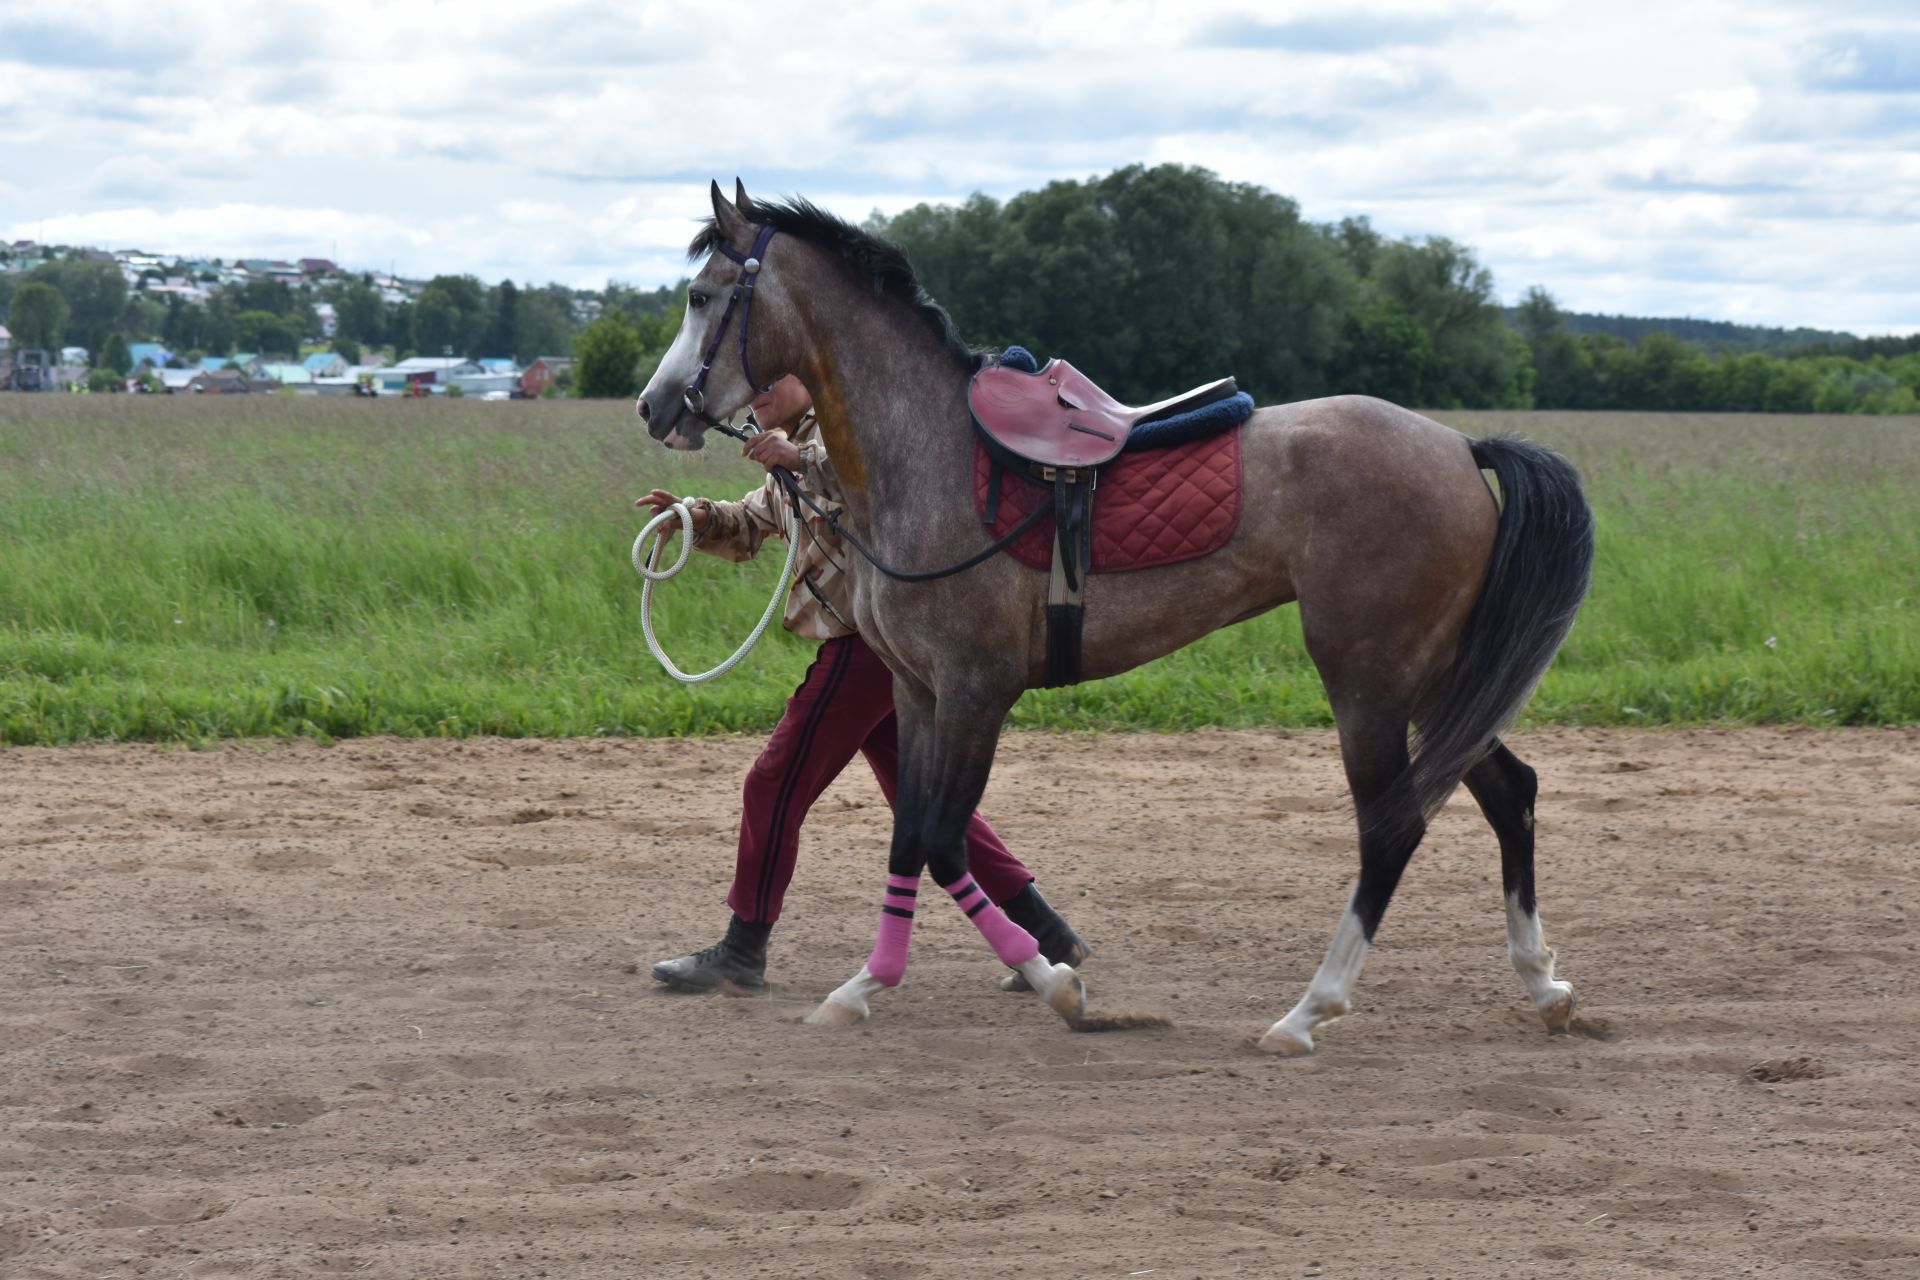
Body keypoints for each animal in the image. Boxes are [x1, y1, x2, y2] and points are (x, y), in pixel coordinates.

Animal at [637, 182, 1597, 1059]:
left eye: (703, 295)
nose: (655, 406)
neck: (931, 460)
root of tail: (1461, 446)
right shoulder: (915, 693)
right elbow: (910, 838)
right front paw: (866, 984)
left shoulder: (978, 691)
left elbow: (945, 843)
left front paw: (1060, 985)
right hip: (1435, 674)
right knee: (1510, 791)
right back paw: (1544, 985)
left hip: (1369, 678)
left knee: (1391, 825)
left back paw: (1307, 1012)